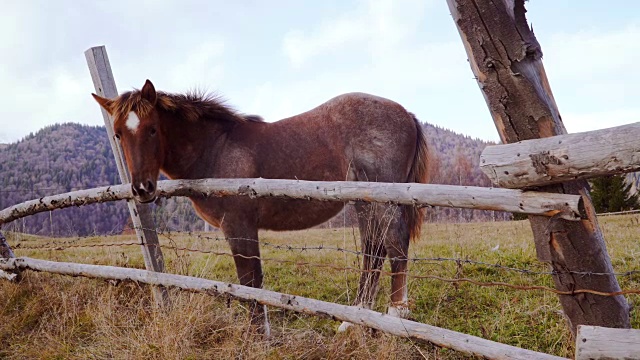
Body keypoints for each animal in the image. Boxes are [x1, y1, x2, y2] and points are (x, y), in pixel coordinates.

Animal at [91, 79, 430, 334]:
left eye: (152, 129)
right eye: (118, 134)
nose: (142, 189)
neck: (216, 149)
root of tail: (405, 113)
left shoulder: (238, 225)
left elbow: (250, 279)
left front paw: (257, 334)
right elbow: (252, 280)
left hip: (385, 199)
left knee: (395, 245)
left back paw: (395, 315)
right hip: (364, 201)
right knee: (374, 249)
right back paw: (353, 320)